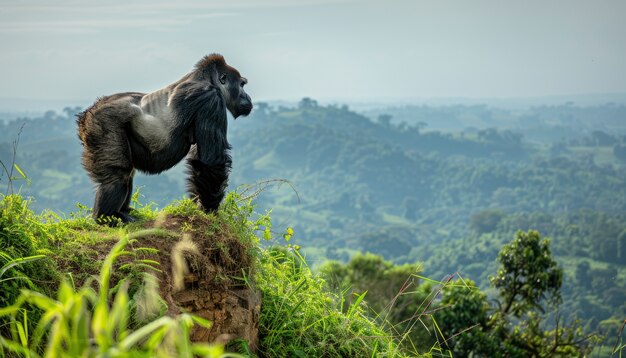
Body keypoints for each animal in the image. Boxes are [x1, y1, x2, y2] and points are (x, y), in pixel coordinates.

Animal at [77, 54, 252, 225]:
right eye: (242, 85)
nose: (248, 97)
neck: (205, 78)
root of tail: (88, 112)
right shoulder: (210, 99)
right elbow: (212, 160)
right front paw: (209, 209)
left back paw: (123, 211)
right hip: (102, 121)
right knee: (118, 175)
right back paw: (107, 216)